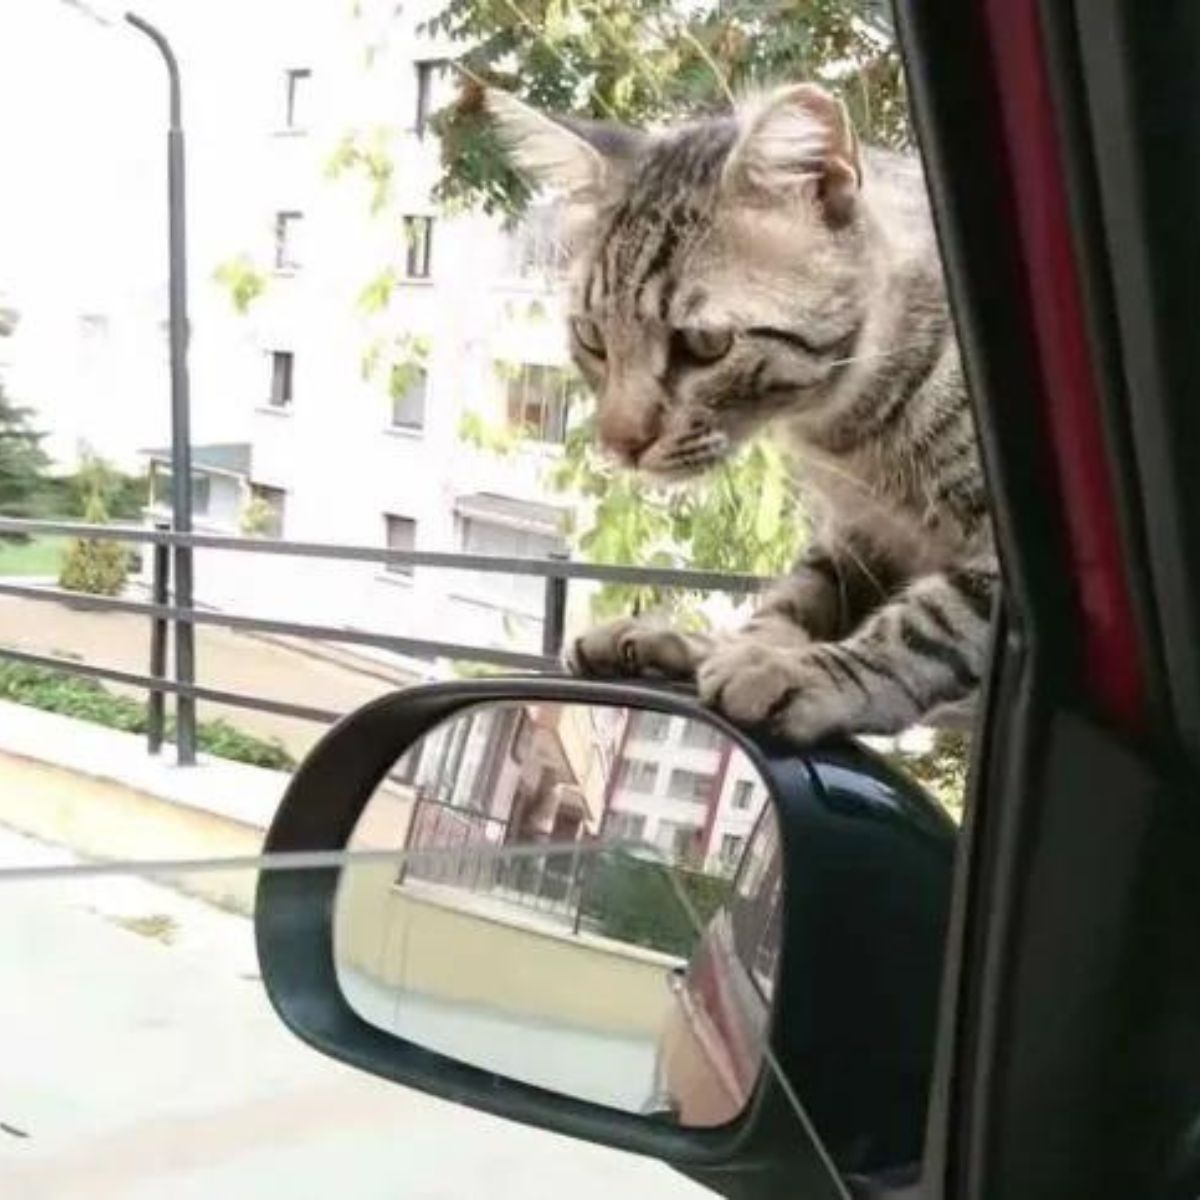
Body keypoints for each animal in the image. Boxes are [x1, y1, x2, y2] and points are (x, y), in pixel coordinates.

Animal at [487, 82, 993, 739]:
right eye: (592, 338)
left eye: (704, 344)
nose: (618, 444)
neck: (850, 439)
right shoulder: (855, 534)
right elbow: (796, 595)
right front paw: (747, 646)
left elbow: (930, 623)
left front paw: (812, 673)